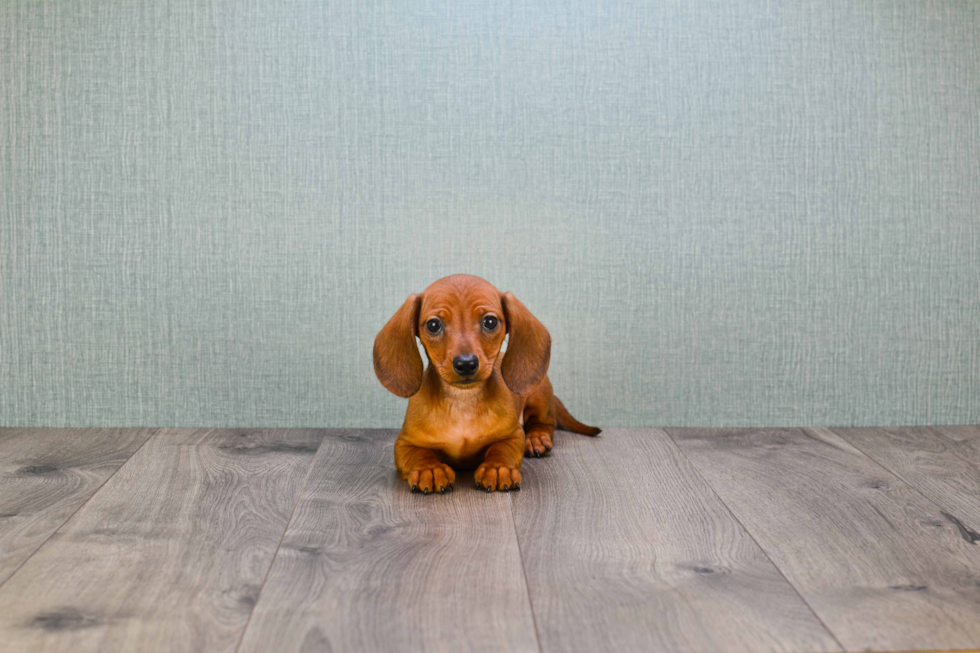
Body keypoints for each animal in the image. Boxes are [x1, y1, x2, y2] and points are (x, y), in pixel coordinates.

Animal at [376, 272, 600, 492]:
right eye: (433, 325)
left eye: (490, 321)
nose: (466, 364)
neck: (463, 401)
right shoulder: (404, 443)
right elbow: (420, 454)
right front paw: (429, 469)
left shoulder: (512, 435)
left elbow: (501, 449)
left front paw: (498, 467)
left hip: (539, 395)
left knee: (545, 423)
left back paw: (536, 438)